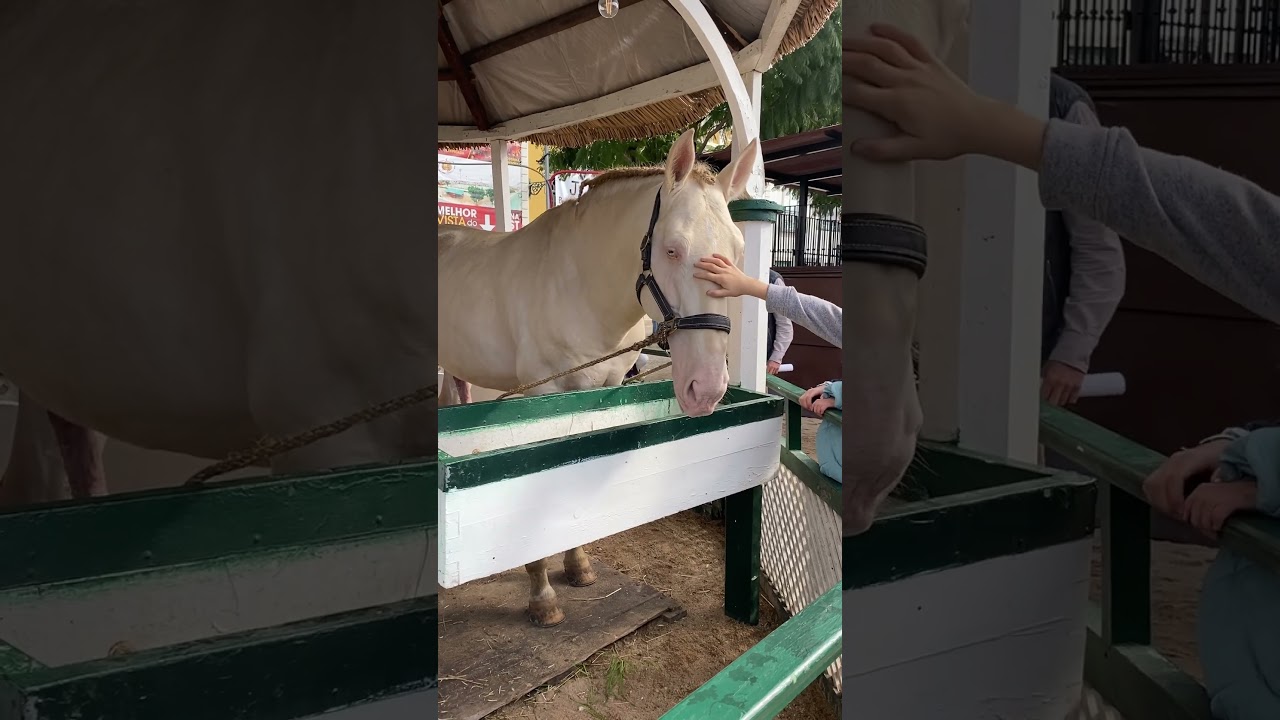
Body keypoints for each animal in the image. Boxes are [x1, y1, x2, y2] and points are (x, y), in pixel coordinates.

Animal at [437, 128, 760, 626]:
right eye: (672, 248)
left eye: (738, 252)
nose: (705, 389)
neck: (579, 289)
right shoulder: (543, 395)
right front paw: (542, 596)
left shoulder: (601, 391)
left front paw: (578, 565)